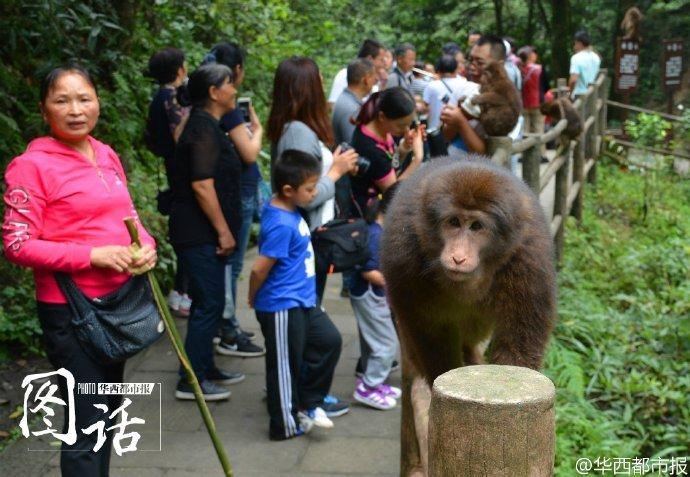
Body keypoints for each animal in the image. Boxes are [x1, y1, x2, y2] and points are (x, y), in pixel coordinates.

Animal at [378, 155, 556, 472]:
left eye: (476, 226)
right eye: (453, 222)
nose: (458, 256)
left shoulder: (529, 258)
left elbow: (518, 346)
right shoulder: (405, 255)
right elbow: (427, 330)